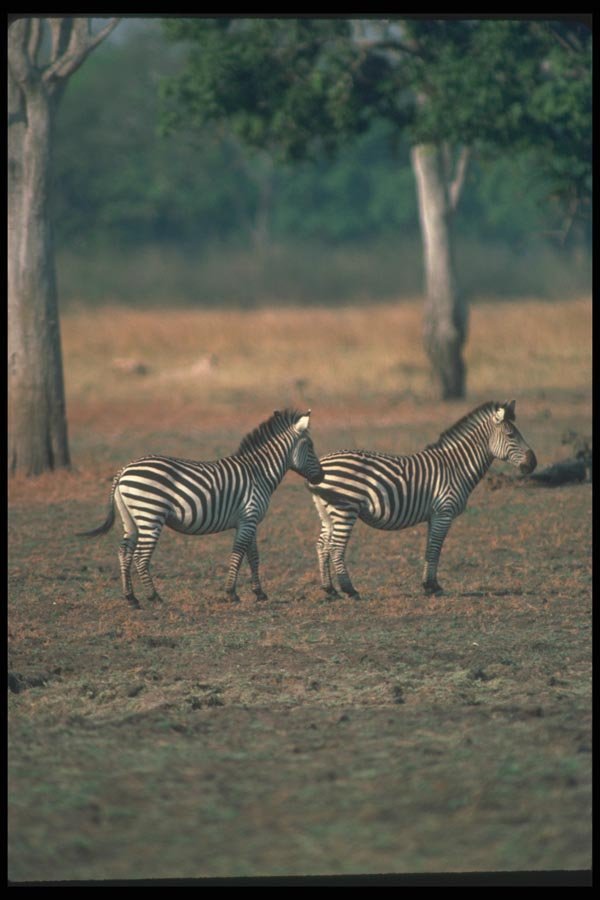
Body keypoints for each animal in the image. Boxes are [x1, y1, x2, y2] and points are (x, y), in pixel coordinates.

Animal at [79, 409, 324, 607]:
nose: (320, 477)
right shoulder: (249, 517)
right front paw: (231, 593)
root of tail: (124, 470)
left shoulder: (249, 522)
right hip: (151, 515)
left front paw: (259, 593)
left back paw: (131, 598)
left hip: (131, 519)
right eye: (311, 447)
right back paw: (154, 597)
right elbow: (238, 554)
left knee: (124, 553)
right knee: (140, 556)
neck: (259, 472)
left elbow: (253, 556)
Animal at [307, 400, 537, 598]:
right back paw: (349, 590)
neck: (456, 467)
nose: (533, 464)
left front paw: (429, 584)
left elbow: (429, 548)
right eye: (510, 435)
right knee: (336, 548)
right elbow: (435, 550)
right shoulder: (444, 512)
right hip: (345, 509)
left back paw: (329, 590)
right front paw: (432, 586)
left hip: (327, 512)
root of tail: (321, 464)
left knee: (322, 545)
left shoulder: (434, 516)